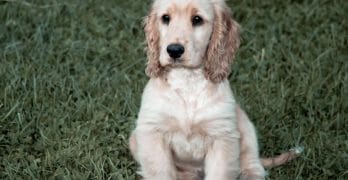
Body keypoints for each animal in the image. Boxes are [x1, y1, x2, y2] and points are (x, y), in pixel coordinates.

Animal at [129, 0, 300, 179]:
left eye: (197, 19)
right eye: (165, 18)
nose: (174, 50)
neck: (187, 79)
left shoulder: (222, 136)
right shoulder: (152, 132)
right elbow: (160, 172)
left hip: (245, 128)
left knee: (252, 164)